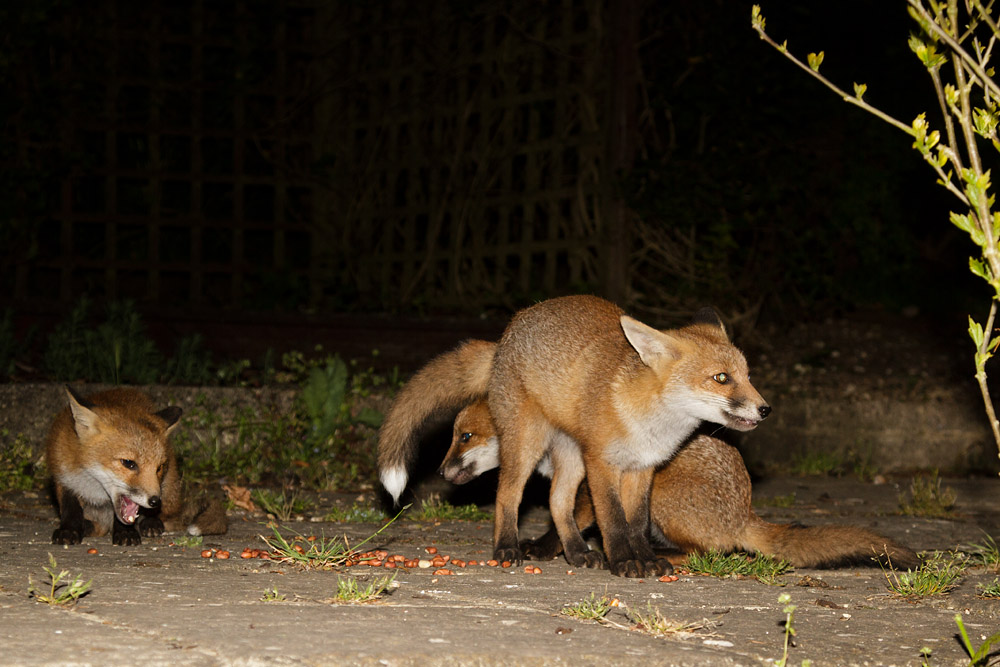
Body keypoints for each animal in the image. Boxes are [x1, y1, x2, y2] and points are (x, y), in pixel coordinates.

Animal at [46, 386, 227, 546]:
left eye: (159, 467)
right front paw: (69, 530)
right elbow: (71, 509)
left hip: (170, 486)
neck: (93, 487)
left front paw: (126, 532)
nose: (155, 501)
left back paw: (151, 523)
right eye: (128, 463)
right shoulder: (62, 474)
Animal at [379, 295, 770, 577]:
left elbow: (636, 523)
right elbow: (613, 520)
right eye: (721, 378)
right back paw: (508, 548)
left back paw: (579, 552)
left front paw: (644, 559)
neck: (650, 424)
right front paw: (624, 562)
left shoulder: (643, 469)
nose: (765, 409)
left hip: (574, 458)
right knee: (508, 496)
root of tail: (510, 330)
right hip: (529, 445)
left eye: (747, 376)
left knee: (556, 502)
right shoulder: (601, 463)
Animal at [442, 399, 920, 570]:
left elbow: (566, 524)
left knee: (713, 551)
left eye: (465, 437)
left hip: (663, 497)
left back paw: (660, 554)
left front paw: (543, 549)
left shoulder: (593, 485)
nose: (442, 474)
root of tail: (745, 512)